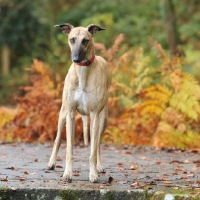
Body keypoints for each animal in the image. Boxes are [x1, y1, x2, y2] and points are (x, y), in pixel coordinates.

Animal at [47, 23, 110, 183]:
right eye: (72, 39)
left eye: (85, 40)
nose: (75, 59)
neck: (82, 73)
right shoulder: (70, 114)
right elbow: (69, 149)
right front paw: (67, 174)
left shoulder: (94, 115)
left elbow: (93, 151)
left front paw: (93, 174)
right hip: (62, 115)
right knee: (57, 139)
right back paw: (51, 163)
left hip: (102, 119)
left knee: (97, 144)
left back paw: (99, 167)